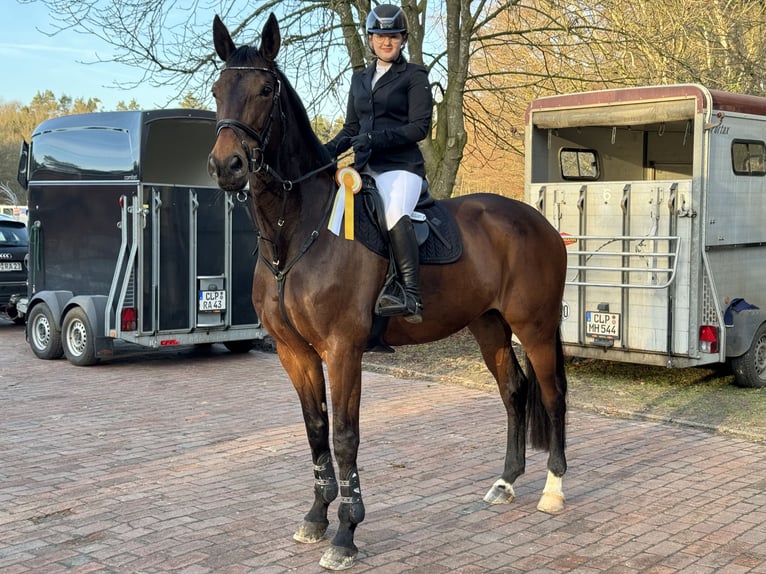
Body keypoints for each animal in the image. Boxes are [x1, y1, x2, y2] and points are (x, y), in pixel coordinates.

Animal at [208, 13, 568, 572]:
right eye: (217, 89)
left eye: (266, 90)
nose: (228, 167)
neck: (297, 233)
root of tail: (539, 222)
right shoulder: (294, 352)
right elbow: (315, 430)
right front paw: (315, 518)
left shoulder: (343, 349)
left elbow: (344, 437)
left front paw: (345, 534)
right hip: (488, 325)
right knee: (513, 392)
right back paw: (505, 483)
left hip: (535, 328)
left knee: (551, 397)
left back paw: (552, 490)